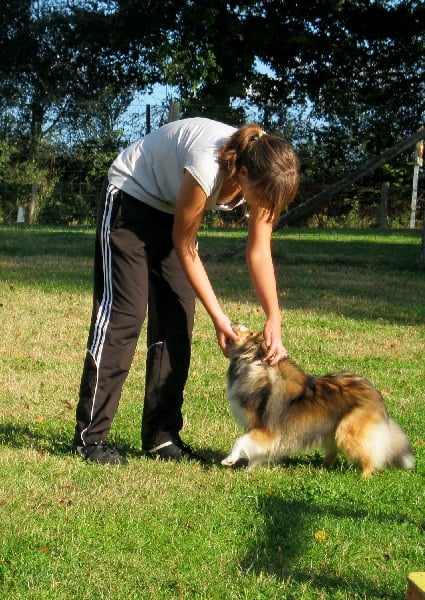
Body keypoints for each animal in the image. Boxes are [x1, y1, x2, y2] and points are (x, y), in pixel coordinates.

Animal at [222, 326, 414, 476]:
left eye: (250, 333)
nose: (233, 323)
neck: (255, 364)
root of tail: (376, 395)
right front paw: (251, 467)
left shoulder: (264, 429)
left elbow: (240, 441)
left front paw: (229, 460)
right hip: (332, 427)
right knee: (334, 451)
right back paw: (323, 467)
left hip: (348, 431)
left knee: (370, 454)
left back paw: (364, 476)